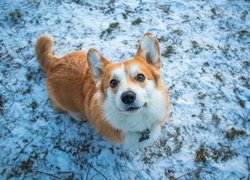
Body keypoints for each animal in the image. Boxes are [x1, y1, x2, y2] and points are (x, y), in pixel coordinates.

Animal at [35, 32, 170, 148]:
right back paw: (78, 115)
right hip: (63, 100)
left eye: (140, 77)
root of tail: (56, 61)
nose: (127, 97)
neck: (136, 119)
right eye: (113, 83)